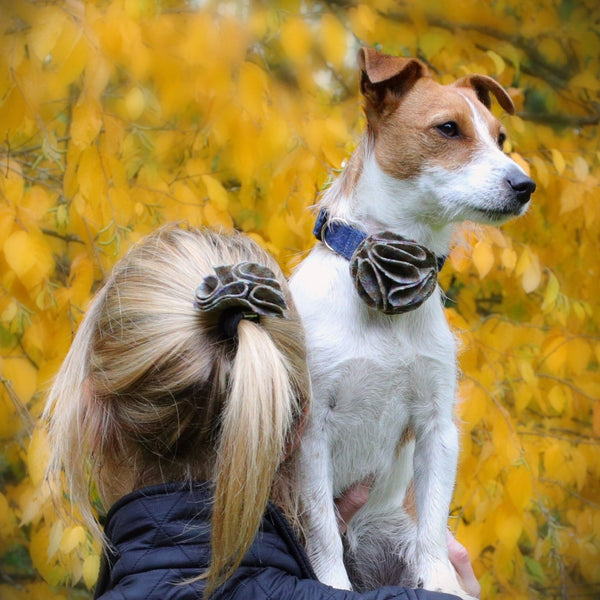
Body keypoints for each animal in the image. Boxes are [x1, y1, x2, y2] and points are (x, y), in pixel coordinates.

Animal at [290, 49, 536, 596]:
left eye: (500, 137)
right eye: (448, 128)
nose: (525, 185)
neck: (391, 280)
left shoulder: (436, 426)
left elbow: (432, 526)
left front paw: (438, 580)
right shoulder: (310, 433)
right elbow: (322, 532)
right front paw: (333, 583)